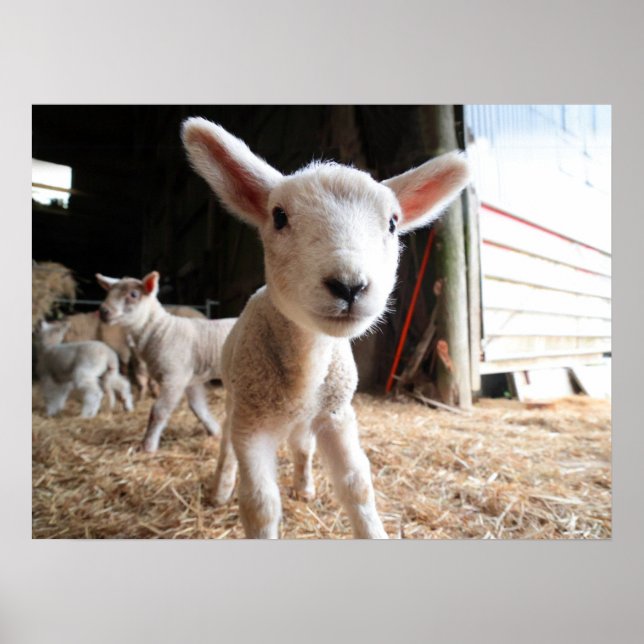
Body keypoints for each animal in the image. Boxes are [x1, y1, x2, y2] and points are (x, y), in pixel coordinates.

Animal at [95, 272, 237, 452]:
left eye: (133, 294)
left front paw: (148, 446)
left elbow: (159, 411)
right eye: (108, 292)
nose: (103, 311)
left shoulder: (175, 377)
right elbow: (198, 407)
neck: (162, 330)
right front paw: (215, 431)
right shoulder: (191, 379)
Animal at [181, 117, 470, 539]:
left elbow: (357, 485)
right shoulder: (252, 425)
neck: (307, 365)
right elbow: (260, 505)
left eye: (393, 223)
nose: (349, 286)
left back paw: (303, 486)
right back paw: (221, 488)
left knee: (303, 447)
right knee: (227, 446)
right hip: (238, 399)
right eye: (279, 216)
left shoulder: (337, 414)